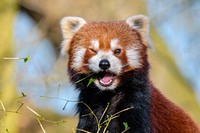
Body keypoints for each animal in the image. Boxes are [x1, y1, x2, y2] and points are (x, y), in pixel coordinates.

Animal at [60, 15, 199, 132]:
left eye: (117, 51)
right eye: (93, 50)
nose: (104, 64)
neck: (108, 95)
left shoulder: (138, 105)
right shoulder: (89, 107)